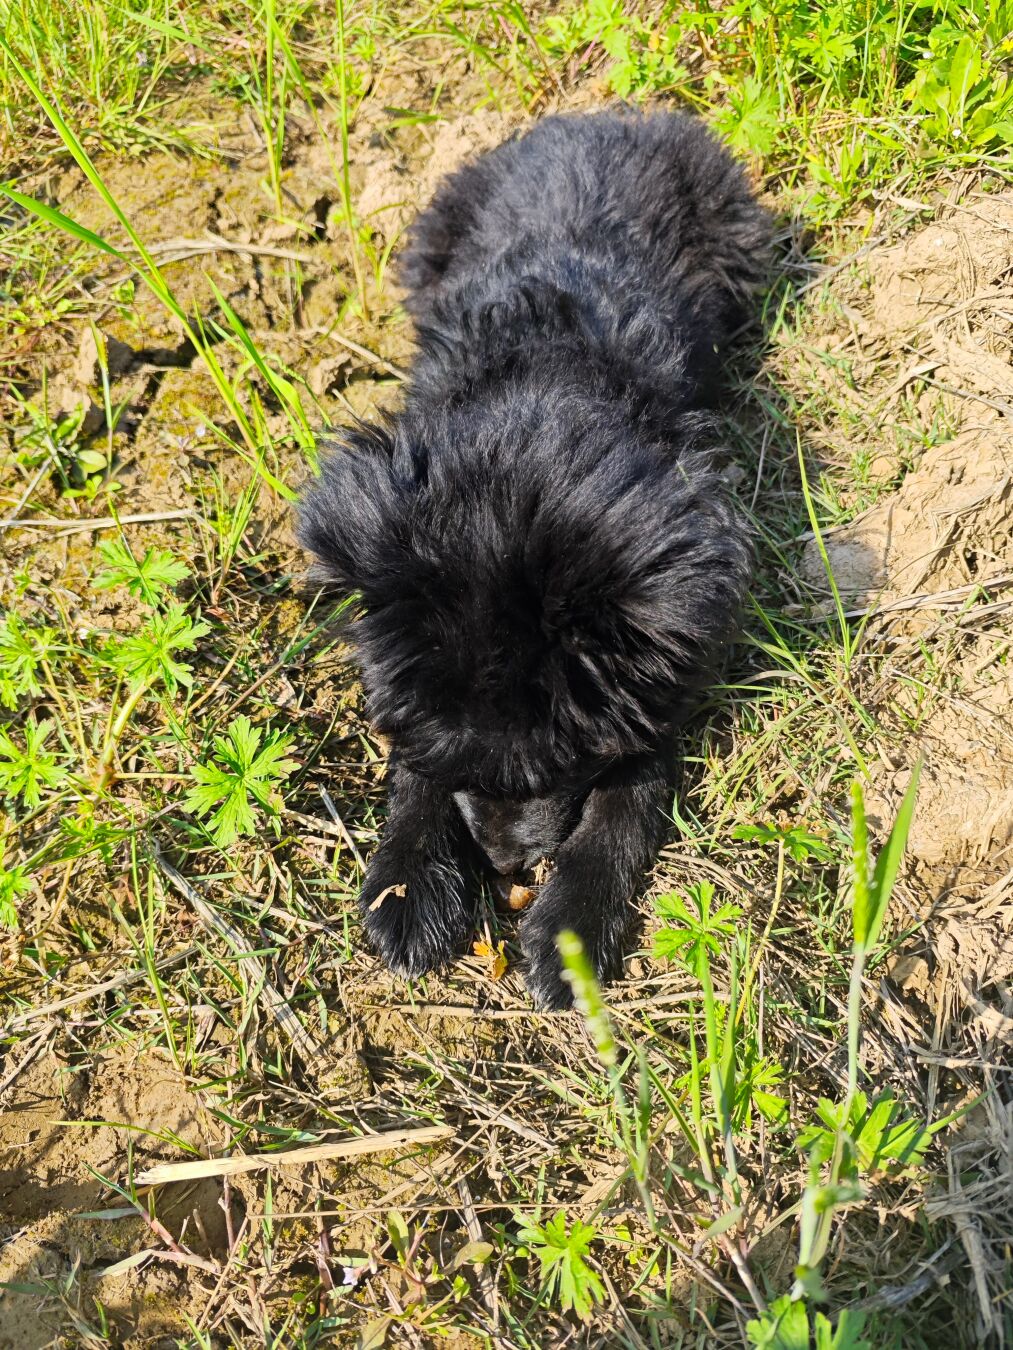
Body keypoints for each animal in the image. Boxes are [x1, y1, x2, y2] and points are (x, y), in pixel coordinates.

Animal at [299, 111, 770, 1008]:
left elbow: (629, 794)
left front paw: (569, 935)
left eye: (564, 761)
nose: (507, 863)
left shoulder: (664, 668)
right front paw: (408, 887)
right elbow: (411, 766)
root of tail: (589, 118)